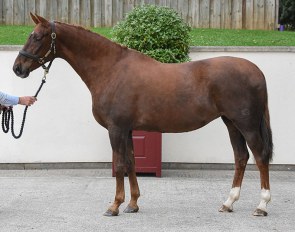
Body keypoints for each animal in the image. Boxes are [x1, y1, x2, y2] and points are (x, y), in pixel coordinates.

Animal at [13, 14, 272, 218]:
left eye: (37, 37)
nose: (17, 68)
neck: (111, 69)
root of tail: (256, 71)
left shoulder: (116, 128)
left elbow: (119, 165)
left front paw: (114, 206)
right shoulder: (127, 129)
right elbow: (131, 163)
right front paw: (133, 204)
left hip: (246, 124)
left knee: (260, 157)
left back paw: (262, 205)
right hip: (231, 123)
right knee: (240, 157)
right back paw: (228, 203)